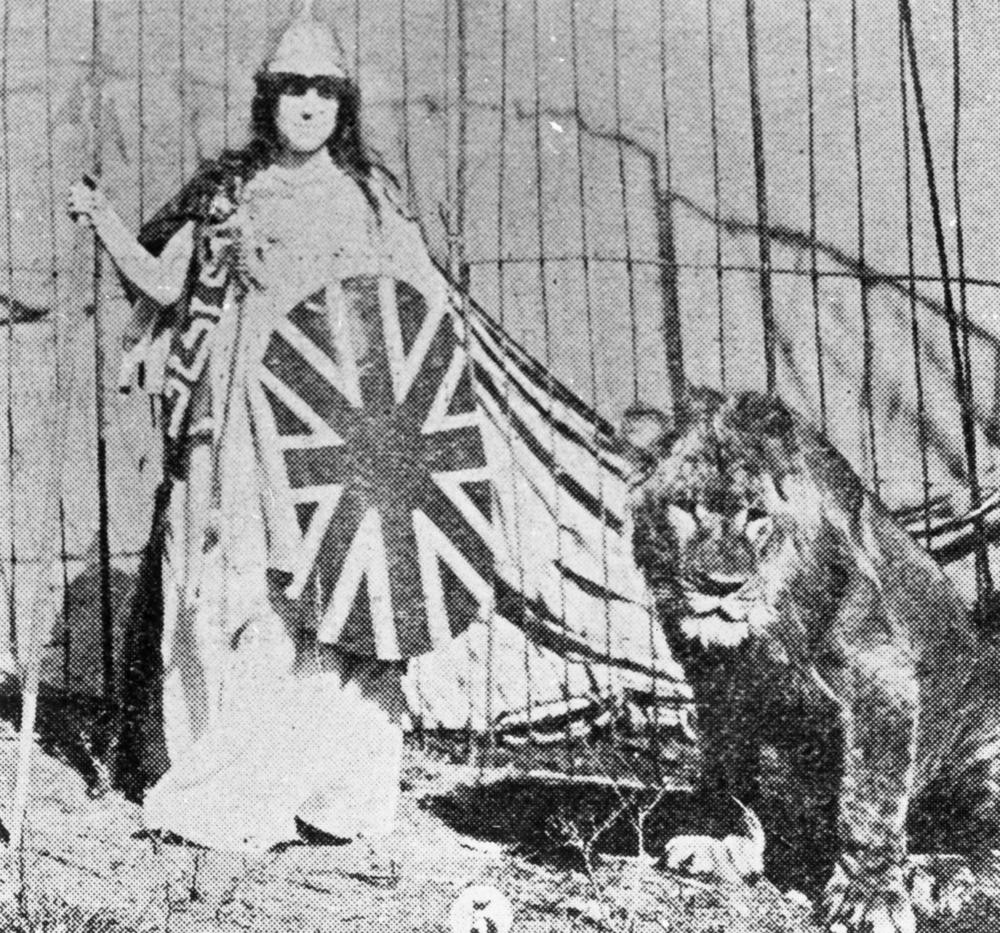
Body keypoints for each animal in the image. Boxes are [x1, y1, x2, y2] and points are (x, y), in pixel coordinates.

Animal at [620, 388, 996, 932]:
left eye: (756, 516)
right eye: (687, 508)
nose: (720, 586)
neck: (762, 629)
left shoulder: (882, 679)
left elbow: (868, 804)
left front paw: (868, 896)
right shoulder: (717, 689)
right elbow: (726, 774)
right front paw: (722, 843)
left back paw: (933, 874)